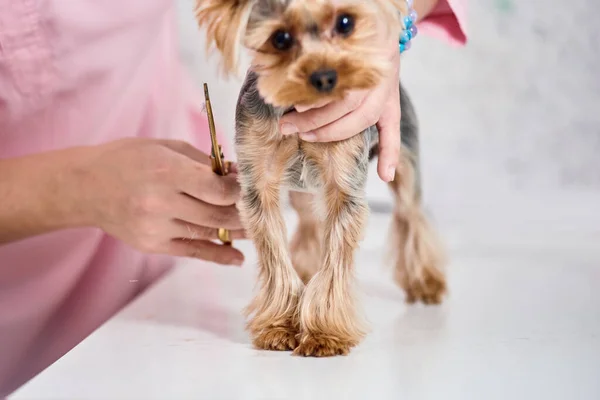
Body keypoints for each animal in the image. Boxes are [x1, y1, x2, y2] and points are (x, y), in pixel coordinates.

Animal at [196, 0, 446, 356]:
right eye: (280, 38)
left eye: (345, 22)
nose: (325, 76)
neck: (301, 109)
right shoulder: (258, 184)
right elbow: (274, 255)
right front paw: (280, 325)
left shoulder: (345, 183)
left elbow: (336, 259)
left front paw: (324, 332)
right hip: (300, 188)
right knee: (309, 220)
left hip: (403, 150)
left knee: (410, 214)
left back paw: (425, 281)